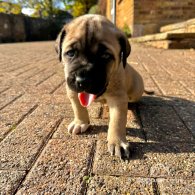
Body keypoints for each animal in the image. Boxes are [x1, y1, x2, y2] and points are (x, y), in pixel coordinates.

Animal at [55, 14, 144, 158]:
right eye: (70, 53)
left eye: (105, 56)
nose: (83, 80)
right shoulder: (72, 91)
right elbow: (78, 108)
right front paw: (80, 122)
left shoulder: (118, 99)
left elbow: (117, 121)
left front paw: (117, 142)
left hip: (136, 90)